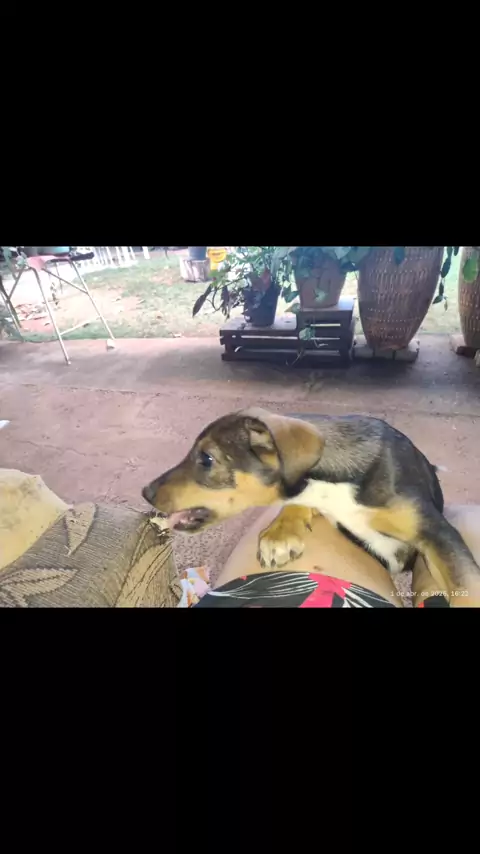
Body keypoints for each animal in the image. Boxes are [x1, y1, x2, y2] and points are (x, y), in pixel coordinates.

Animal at [142, 408, 480, 601]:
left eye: (207, 458)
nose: (145, 492)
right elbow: (297, 501)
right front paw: (280, 535)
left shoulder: (437, 533)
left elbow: (466, 587)